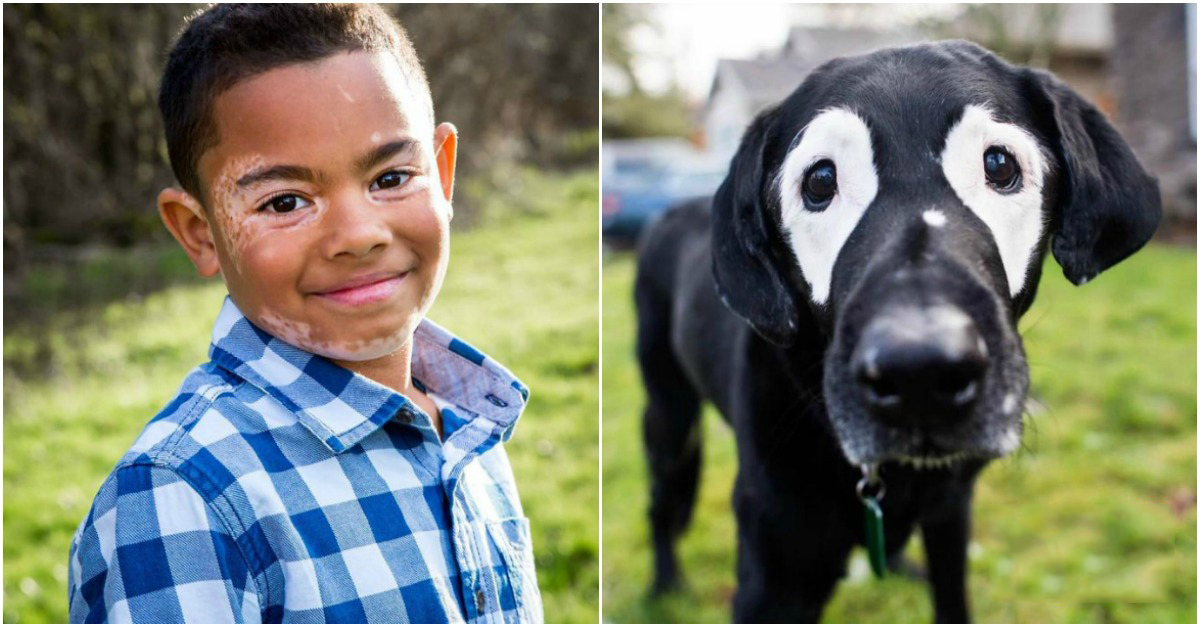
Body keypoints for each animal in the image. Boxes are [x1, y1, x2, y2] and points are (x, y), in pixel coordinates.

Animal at [633, 41, 1156, 619]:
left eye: (999, 164)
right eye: (820, 181)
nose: (919, 373)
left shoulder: (951, 517)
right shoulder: (773, 574)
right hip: (669, 415)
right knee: (659, 504)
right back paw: (662, 584)